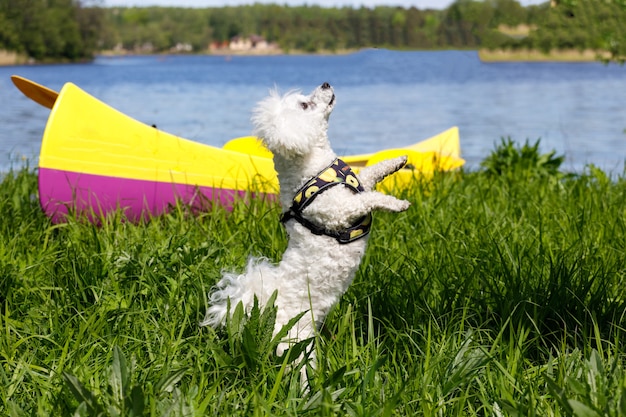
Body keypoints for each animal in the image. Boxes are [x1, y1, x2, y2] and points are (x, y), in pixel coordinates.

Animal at [197, 83, 408, 356]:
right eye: (305, 105)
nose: (326, 83)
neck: (313, 170)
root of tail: (260, 310)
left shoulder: (358, 184)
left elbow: (369, 174)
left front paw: (396, 162)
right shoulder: (340, 210)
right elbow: (368, 198)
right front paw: (396, 203)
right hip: (295, 345)